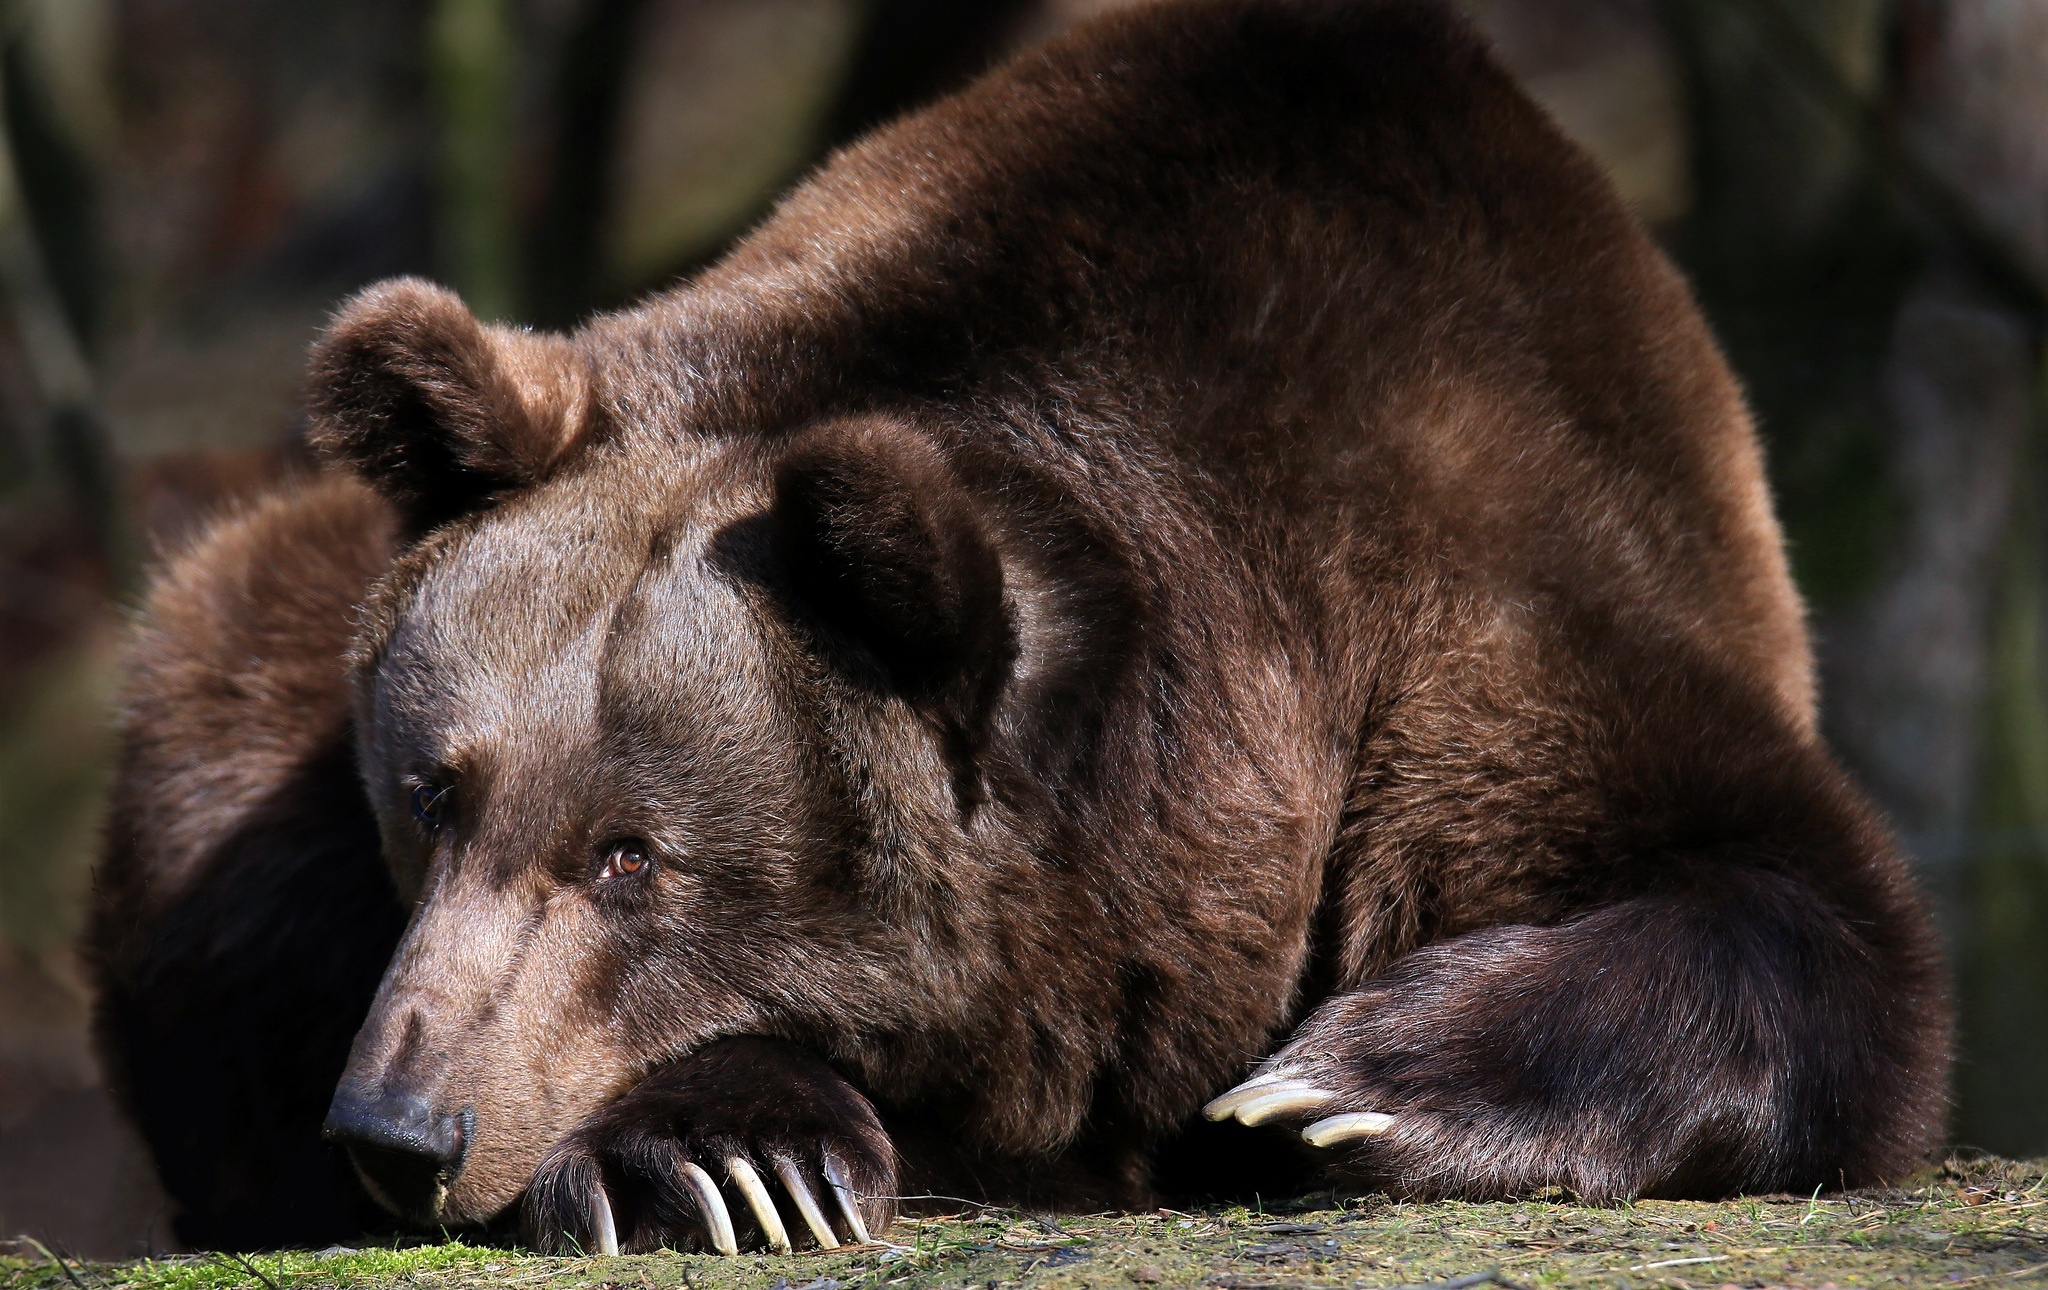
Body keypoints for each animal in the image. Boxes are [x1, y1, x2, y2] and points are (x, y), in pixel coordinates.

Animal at [92, 0, 1949, 1261]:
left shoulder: (1500, 572)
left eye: (635, 855)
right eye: (430, 790)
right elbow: (253, 920)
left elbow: (1803, 912)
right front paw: (722, 1154)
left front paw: (1347, 1082)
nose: (402, 1126)